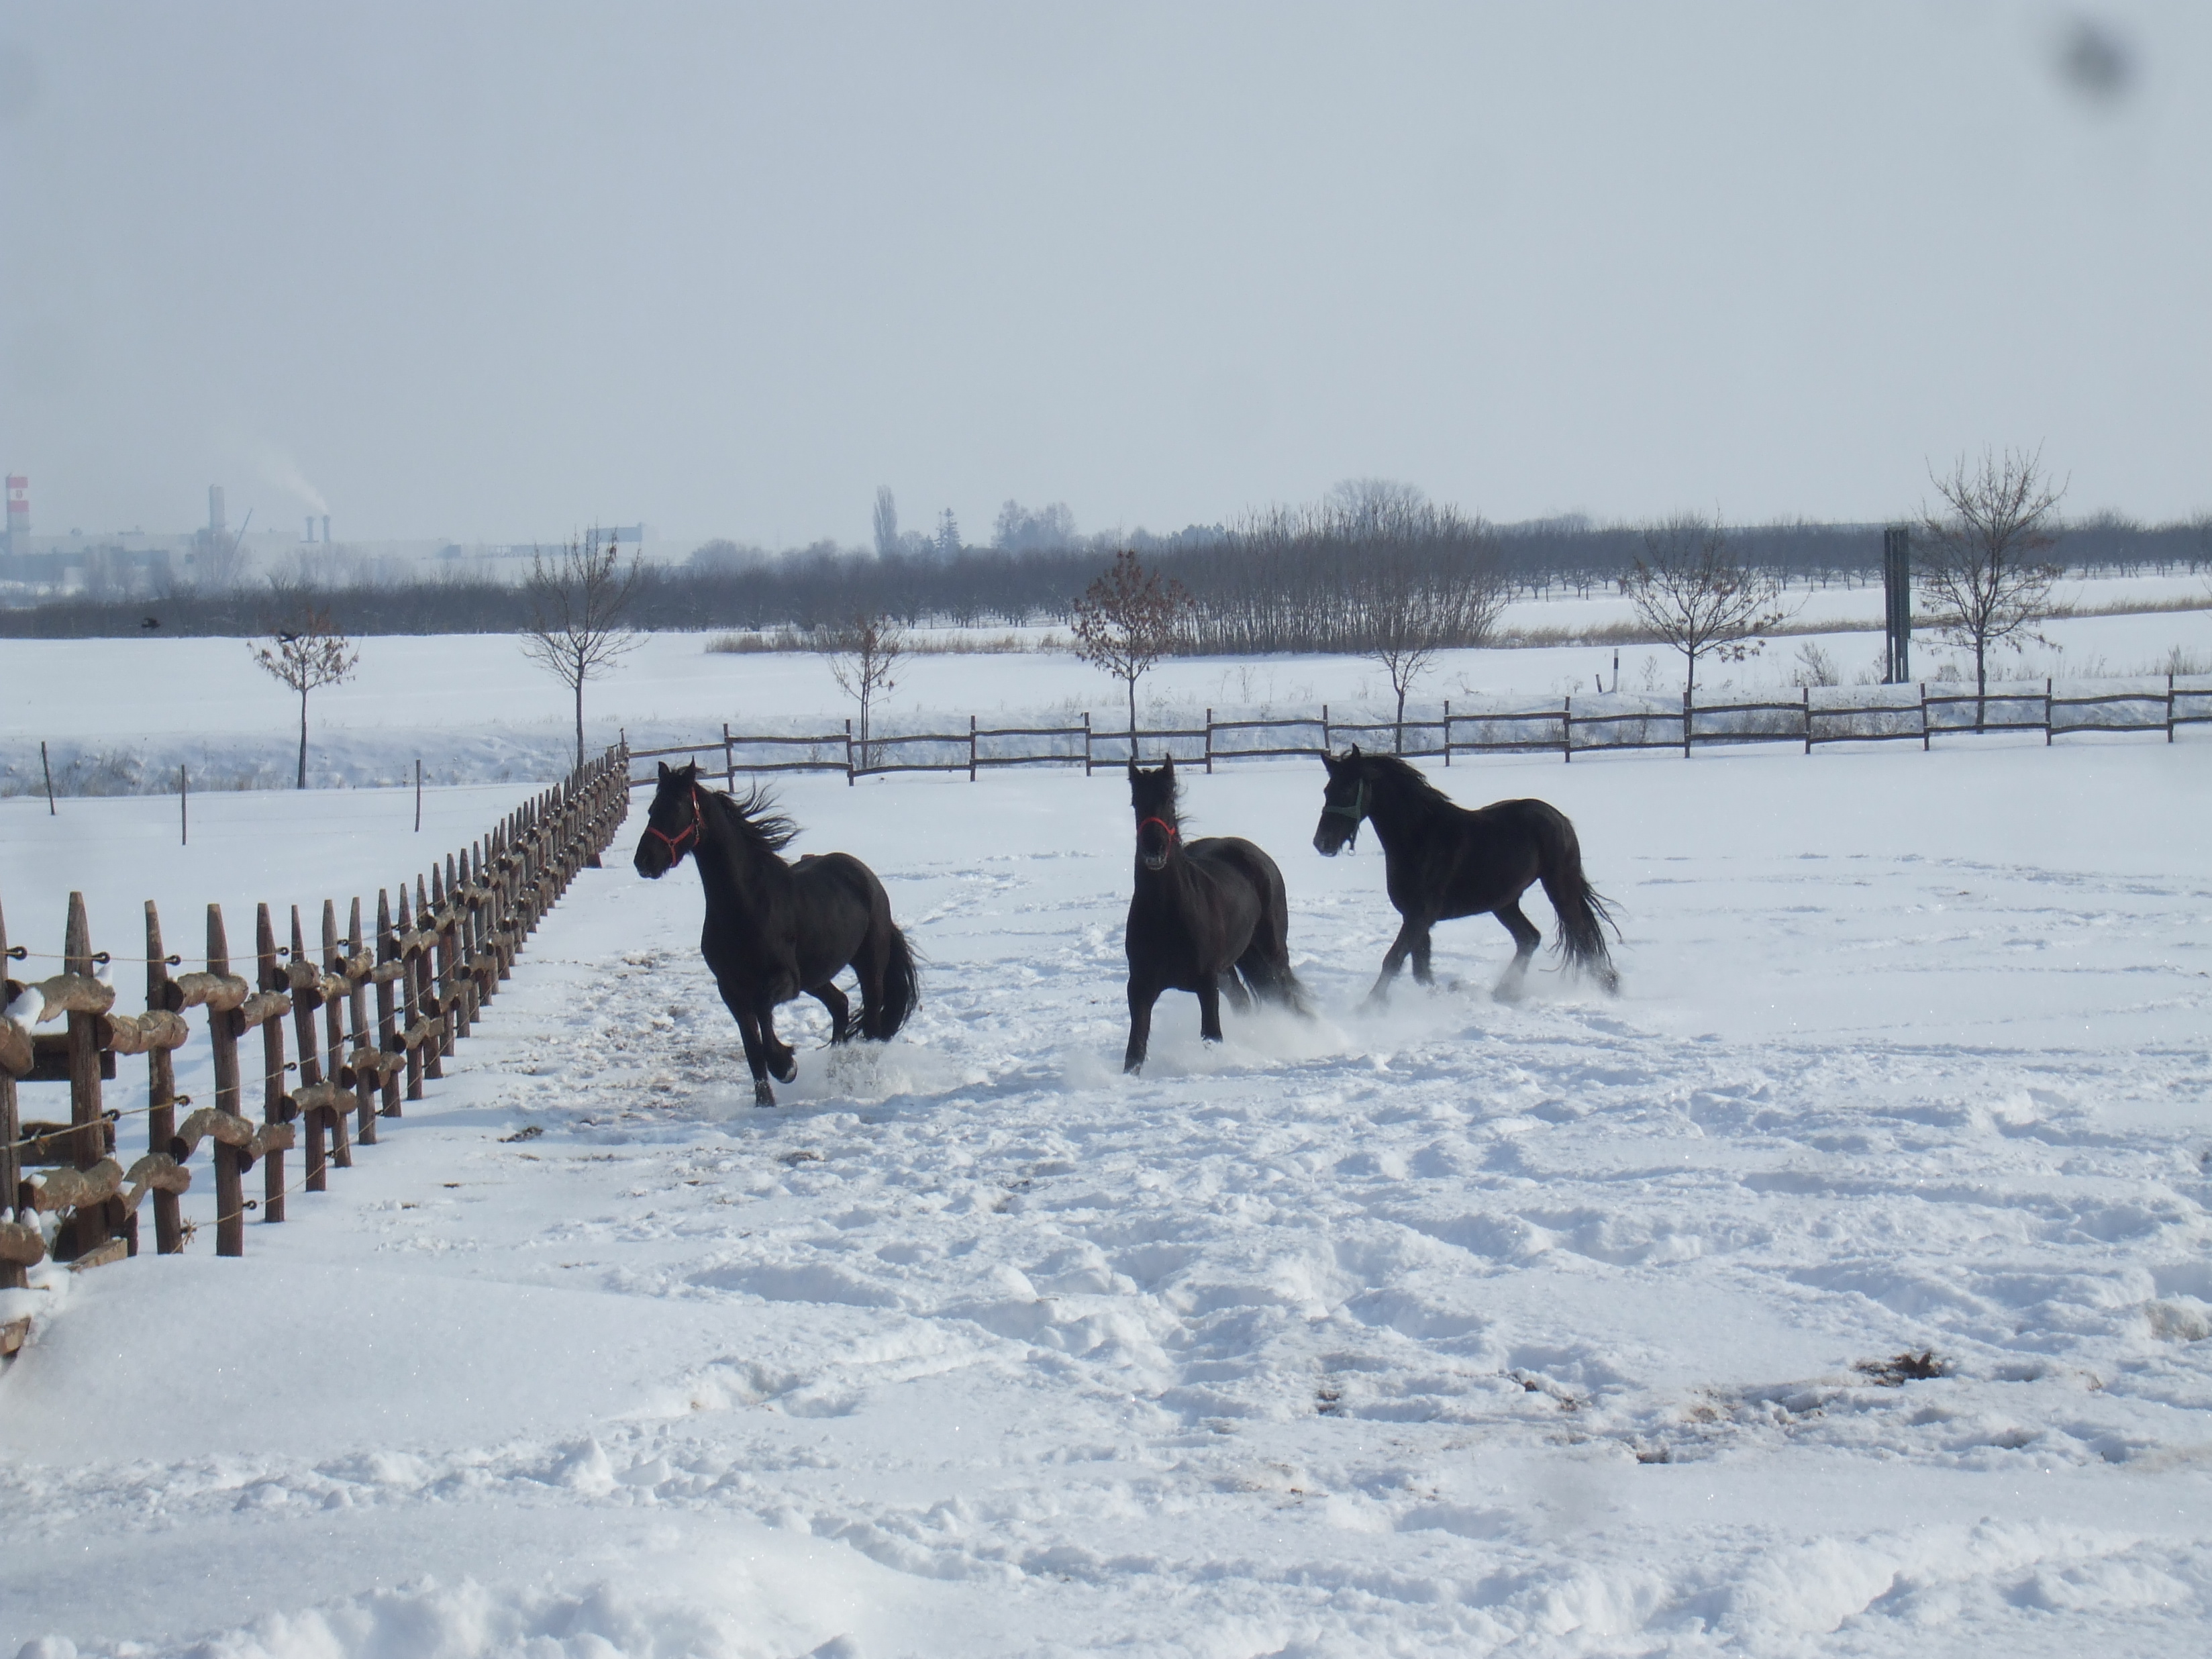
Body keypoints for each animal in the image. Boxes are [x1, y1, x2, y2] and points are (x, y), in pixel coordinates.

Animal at [632, 761, 918, 1105]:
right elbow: (752, 1049)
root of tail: (867, 879)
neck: (747, 906)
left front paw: (786, 1065)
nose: (643, 861)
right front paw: (764, 1102)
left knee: (872, 1026)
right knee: (840, 1006)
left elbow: (764, 1016)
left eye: (676, 808)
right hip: (815, 977)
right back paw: (834, 1075)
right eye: (652, 809)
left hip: (868, 966)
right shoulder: (731, 989)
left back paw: (861, 1081)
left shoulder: (783, 981)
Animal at [1122, 756, 1306, 1073]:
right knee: (1244, 999)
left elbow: (1211, 1036)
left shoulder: (1207, 985)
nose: (1154, 849)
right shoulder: (1140, 988)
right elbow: (1135, 1051)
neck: (1166, 914)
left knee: (1286, 995)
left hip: (1271, 952)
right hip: (1232, 966)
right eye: (1136, 801)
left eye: (1169, 799)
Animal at [1310, 748, 1619, 1004]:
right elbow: (1420, 969)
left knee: (1581, 936)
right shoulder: (1415, 917)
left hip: (1559, 888)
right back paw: (1504, 992)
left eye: (1348, 790)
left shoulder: (1421, 915)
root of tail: (1560, 819)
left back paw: (1605, 984)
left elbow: (1394, 959)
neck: (1420, 838)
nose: (1322, 843)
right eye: (1326, 790)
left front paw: (1369, 1007)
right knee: (1529, 938)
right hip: (1504, 902)